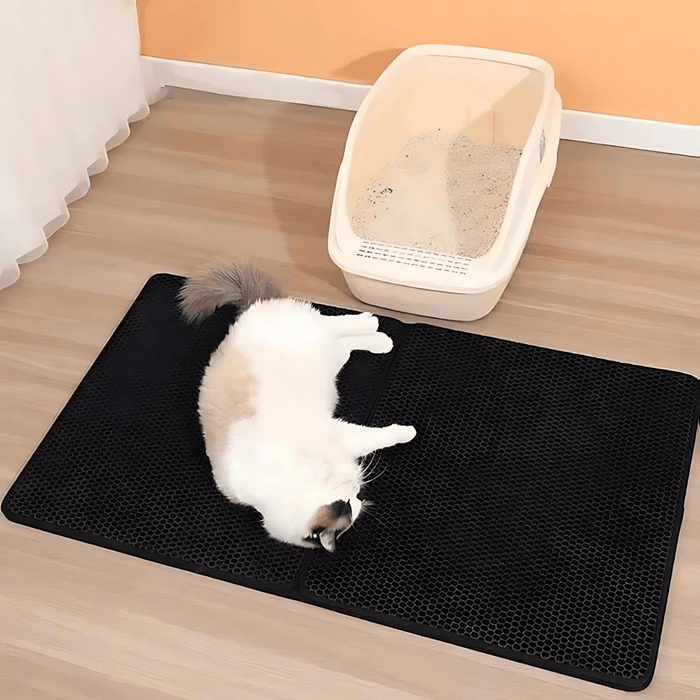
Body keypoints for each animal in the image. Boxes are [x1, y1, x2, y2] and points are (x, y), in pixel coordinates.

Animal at [178, 262, 416, 552]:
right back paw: (380, 338)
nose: (359, 497)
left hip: (314, 335)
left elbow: (380, 437)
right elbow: (377, 438)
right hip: (329, 359)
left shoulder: (338, 434)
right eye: (351, 506)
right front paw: (408, 432)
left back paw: (373, 324)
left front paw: (409, 432)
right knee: (344, 342)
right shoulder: (342, 436)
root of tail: (250, 309)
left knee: (335, 323)